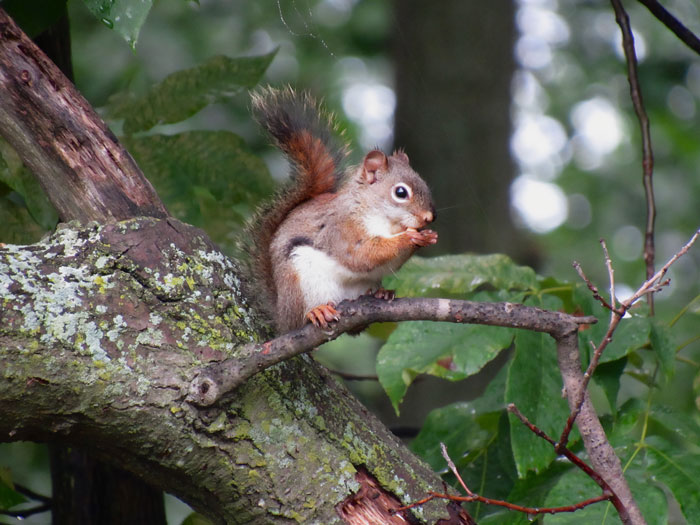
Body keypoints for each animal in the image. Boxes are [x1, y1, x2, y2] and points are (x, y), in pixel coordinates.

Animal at [246, 87, 438, 332]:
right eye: (401, 192)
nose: (429, 217)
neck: (384, 220)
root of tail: (281, 316)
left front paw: (427, 237)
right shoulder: (341, 229)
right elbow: (361, 255)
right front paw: (408, 238)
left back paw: (380, 293)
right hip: (298, 282)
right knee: (299, 318)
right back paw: (315, 312)